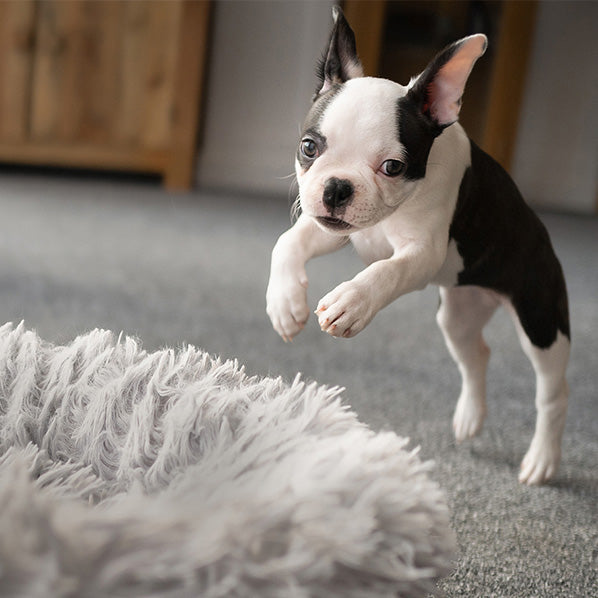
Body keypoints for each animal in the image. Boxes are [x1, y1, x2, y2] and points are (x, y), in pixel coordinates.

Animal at [268, 8, 572, 488]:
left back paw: (543, 458)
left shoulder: (423, 253)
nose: (336, 188)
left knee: (552, 392)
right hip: (458, 315)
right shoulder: (334, 228)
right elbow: (288, 242)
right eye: (309, 147)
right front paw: (284, 303)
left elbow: (385, 271)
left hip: (541, 320)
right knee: (477, 354)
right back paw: (469, 417)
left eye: (393, 167)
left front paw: (351, 303)